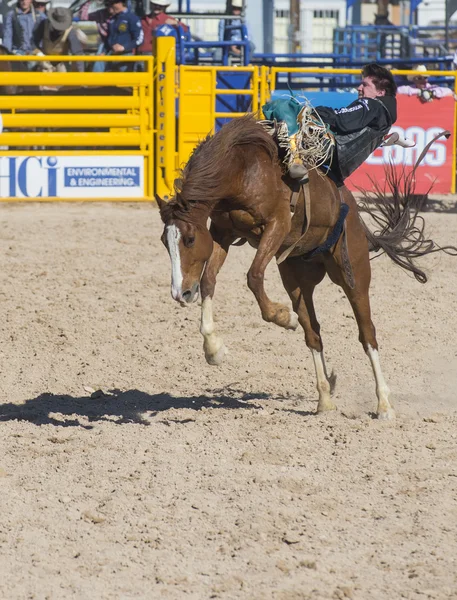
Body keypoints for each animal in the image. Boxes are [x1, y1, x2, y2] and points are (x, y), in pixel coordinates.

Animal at [155, 115, 448, 420]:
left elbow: (253, 276)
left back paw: (384, 405)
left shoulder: (277, 224)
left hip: (353, 276)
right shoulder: (222, 232)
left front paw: (283, 317)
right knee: (313, 333)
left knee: (367, 334)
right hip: (297, 280)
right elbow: (209, 280)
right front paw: (214, 349)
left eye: (189, 239)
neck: (242, 170)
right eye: (164, 241)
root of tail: (351, 208)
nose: (180, 293)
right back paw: (325, 399)